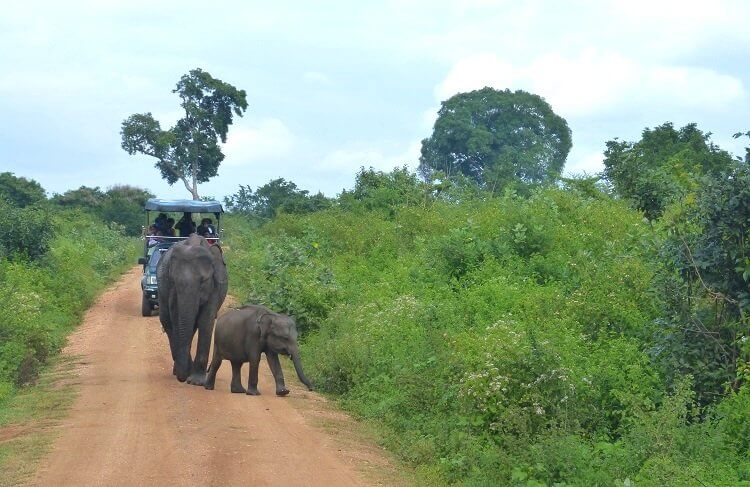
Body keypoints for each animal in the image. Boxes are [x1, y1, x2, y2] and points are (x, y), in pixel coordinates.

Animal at [157, 234, 228, 386]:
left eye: (203, 281)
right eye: (173, 280)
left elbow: (206, 320)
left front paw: (196, 382)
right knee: (167, 321)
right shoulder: (171, 289)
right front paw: (188, 375)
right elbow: (176, 318)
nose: (183, 379)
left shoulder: (215, 287)